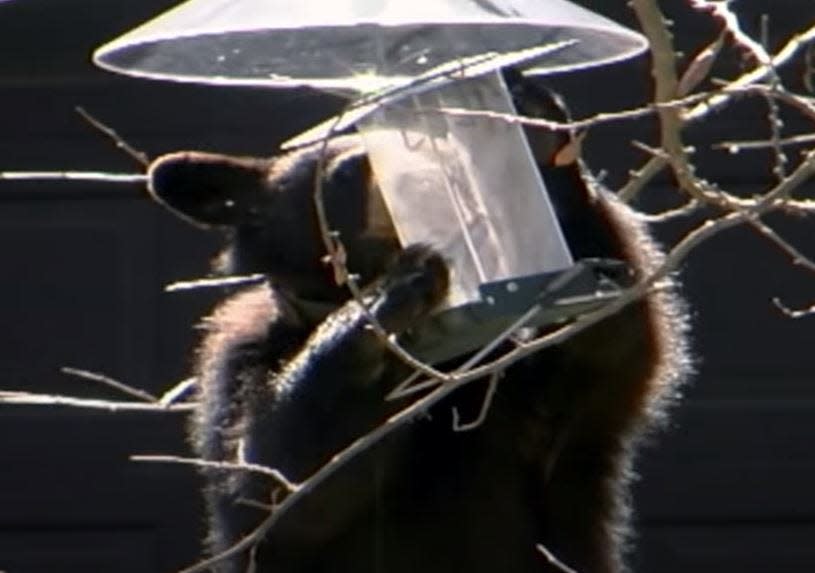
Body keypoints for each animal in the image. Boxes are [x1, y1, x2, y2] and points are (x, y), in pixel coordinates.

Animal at [147, 69, 688, 568]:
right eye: (348, 170)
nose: (424, 175)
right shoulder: (239, 358)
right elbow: (280, 482)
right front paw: (384, 302)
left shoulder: (528, 392)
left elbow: (609, 344)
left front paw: (532, 123)